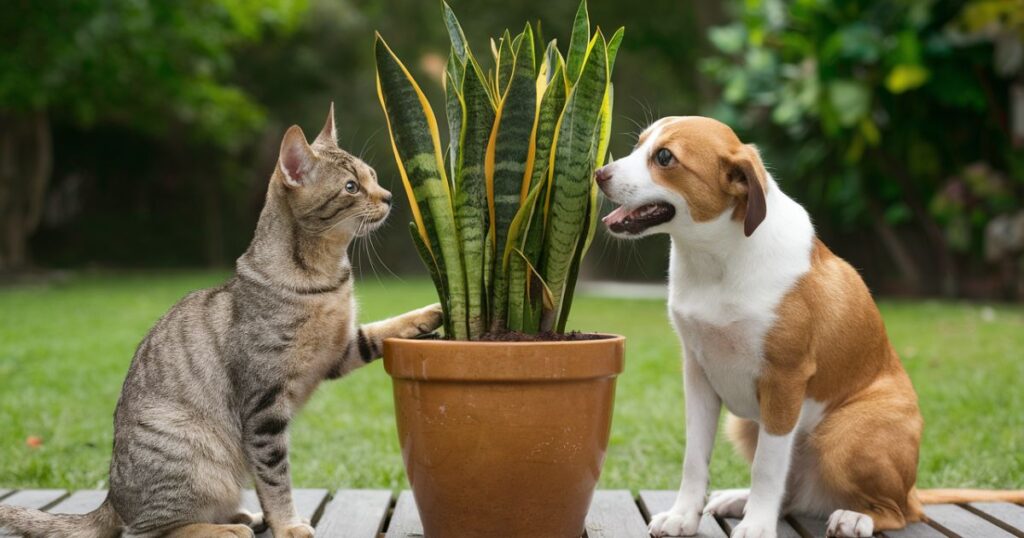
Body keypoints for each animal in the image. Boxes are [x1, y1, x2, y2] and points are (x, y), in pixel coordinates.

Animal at [0, 102, 444, 532]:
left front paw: (431, 312)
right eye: (351, 187)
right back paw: (228, 528)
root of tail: (111, 499)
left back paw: (241, 517)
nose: (389, 196)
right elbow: (275, 478)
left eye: (373, 176)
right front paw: (289, 524)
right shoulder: (264, 407)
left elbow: (379, 331)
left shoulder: (337, 352)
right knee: (149, 530)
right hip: (194, 456)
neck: (326, 278)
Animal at [593, 115, 1024, 532]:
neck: (718, 260)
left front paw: (757, 526)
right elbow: (695, 459)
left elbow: (767, 468)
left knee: (899, 513)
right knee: (792, 496)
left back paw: (855, 517)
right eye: (639, 145)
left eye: (665, 157)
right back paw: (741, 499)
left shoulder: (784, 381)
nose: (599, 173)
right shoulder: (698, 375)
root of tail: (913, 490)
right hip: (743, 424)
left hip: (845, 435)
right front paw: (683, 517)